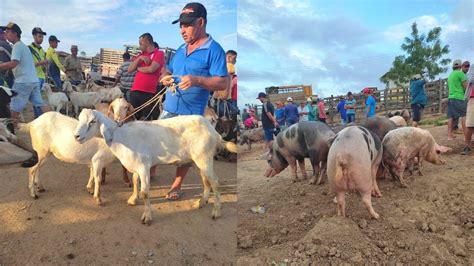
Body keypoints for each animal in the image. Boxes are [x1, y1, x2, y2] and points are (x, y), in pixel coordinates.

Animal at [74, 109, 239, 223]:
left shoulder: (144, 166)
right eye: (80, 119)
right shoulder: (137, 165)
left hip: (204, 158)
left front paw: (147, 216)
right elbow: (135, 181)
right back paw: (201, 202)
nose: (76, 136)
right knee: (206, 181)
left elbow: (145, 192)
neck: (121, 136)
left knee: (215, 182)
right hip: (197, 161)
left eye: (92, 121)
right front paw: (133, 199)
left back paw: (216, 211)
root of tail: (214, 132)